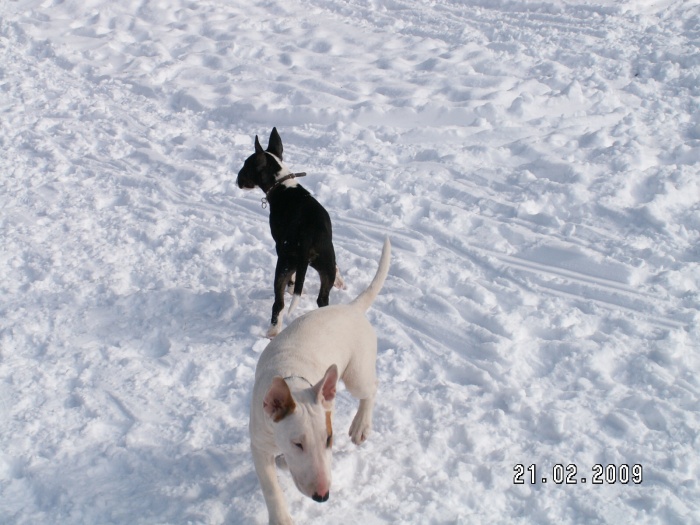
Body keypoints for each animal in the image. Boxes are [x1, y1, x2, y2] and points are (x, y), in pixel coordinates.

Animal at [237, 129, 344, 338]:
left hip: (284, 264)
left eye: (246, 166)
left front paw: (292, 286)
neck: (282, 184)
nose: (236, 180)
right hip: (325, 261)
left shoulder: (280, 246)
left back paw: (273, 331)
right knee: (322, 299)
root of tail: (308, 234)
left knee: (278, 303)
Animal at [247, 238, 392, 524]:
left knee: (371, 387)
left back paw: (361, 426)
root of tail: (351, 308)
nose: (322, 496)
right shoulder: (258, 444)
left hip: (357, 373)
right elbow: (270, 486)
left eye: (329, 439)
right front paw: (281, 517)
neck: (293, 381)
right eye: (298, 444)